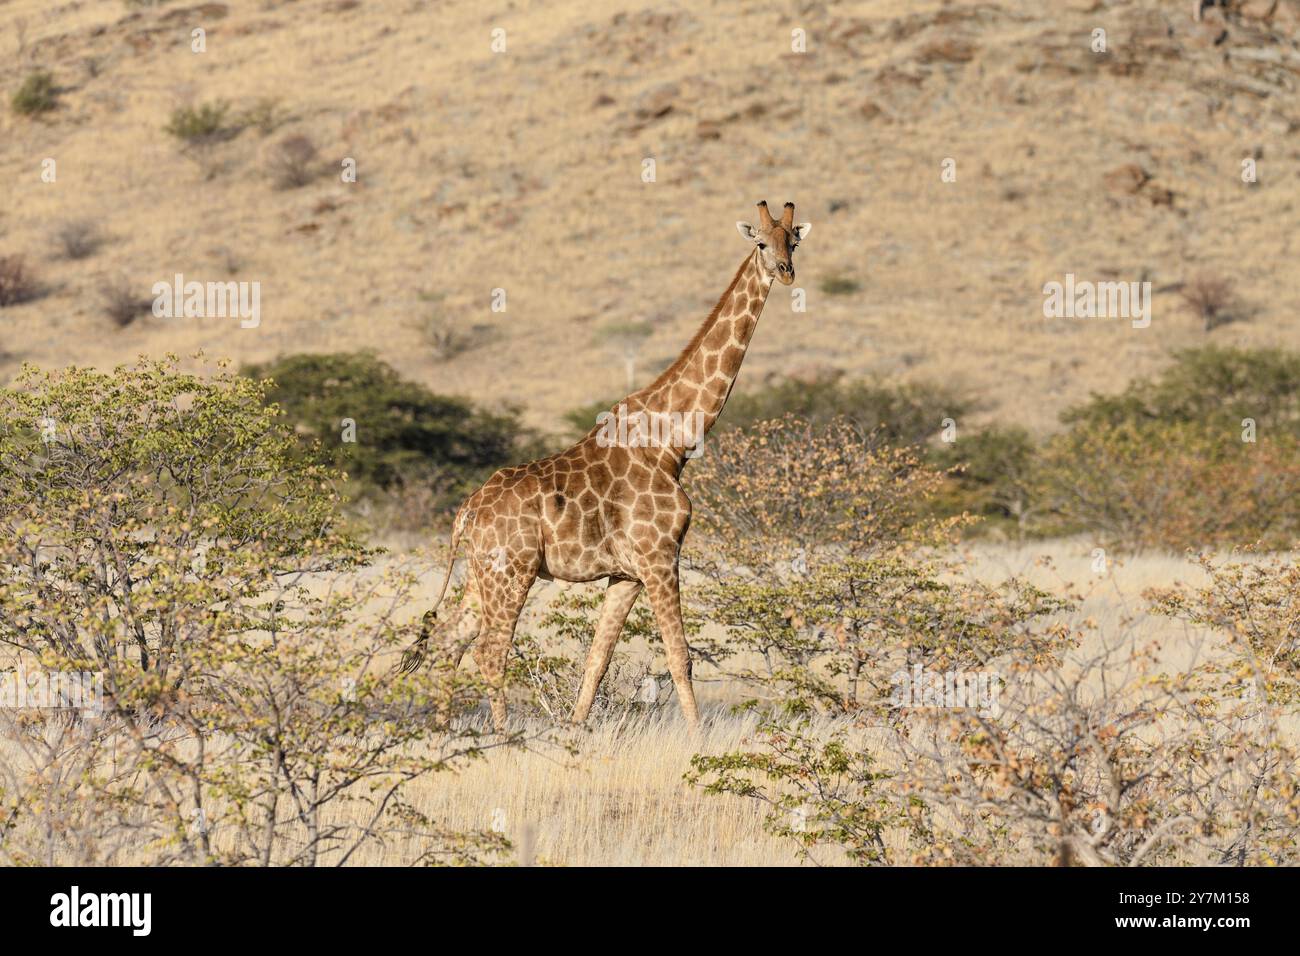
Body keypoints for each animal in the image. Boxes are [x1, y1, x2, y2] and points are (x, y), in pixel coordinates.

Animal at [400, 200, 811, 730]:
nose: (785, 271)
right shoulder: (659, 557)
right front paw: (698, 738)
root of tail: (465, 514)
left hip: (482, 571)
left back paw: (443, 732)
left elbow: (598, 657)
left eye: (793, 242)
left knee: (449, 641)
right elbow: (679, 656)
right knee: (489, 651)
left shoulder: (627, 574)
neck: (672, 442)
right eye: (761, 242)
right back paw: (501, 734)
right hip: (512, 570)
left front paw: (576, 728)